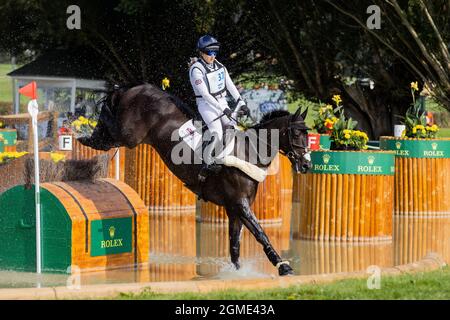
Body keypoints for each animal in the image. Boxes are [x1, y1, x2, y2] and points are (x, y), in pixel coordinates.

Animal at [79, 84, 312, 276]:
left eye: (308, 135)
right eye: (296, 134)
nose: (307, 165)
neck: (249, 152)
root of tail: (136, 88)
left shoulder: (233, 208)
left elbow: (235, 245)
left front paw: (237, 272)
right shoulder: (240, 204)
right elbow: (260, 234)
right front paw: (283, 266)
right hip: (130, 136)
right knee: (110, 127)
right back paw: (85, 135)